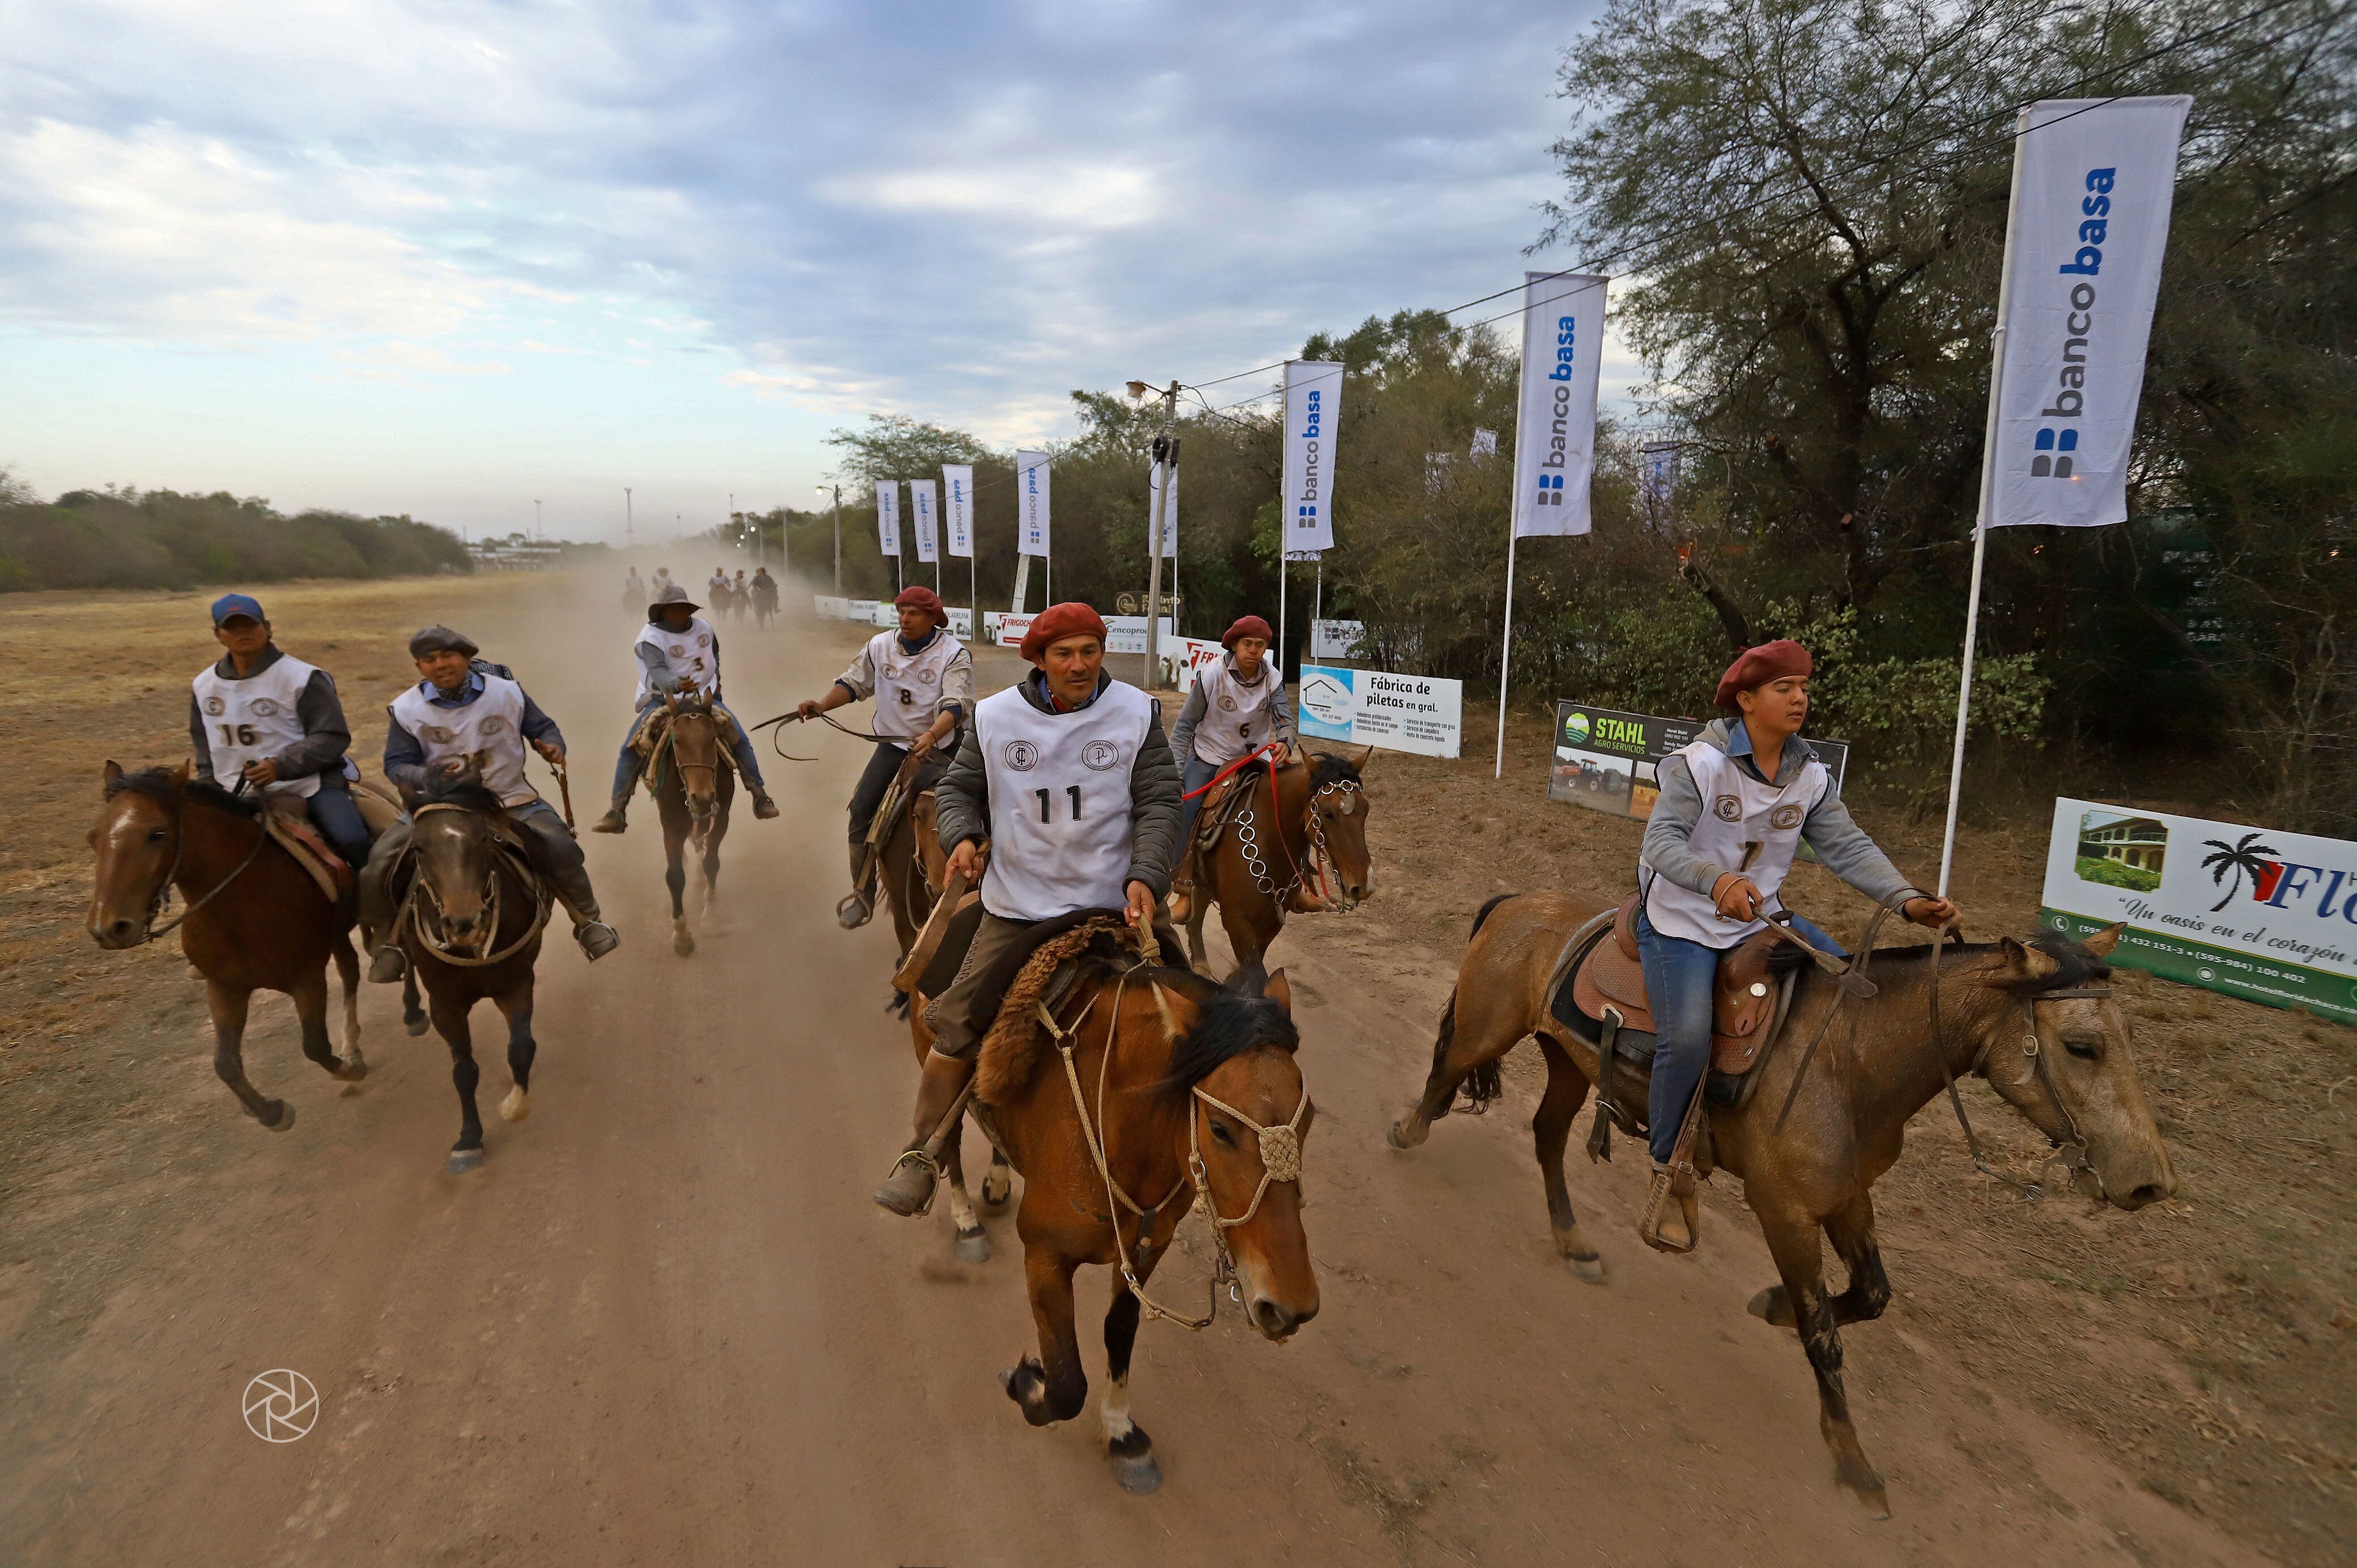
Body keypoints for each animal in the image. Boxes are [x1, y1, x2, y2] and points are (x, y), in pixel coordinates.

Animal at [87, 759, 367, 1117]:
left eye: (158, 834)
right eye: (93, 838)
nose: (107, 928)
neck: (240, 909)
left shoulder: (307, 979)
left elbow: (315, 1046)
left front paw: (350, 1070)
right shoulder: (224, 987)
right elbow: (225, 1065)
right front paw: (270, 1112)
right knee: (349, 969)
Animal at [391, 778, 551, 1169]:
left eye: (482, 839)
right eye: (418, 848)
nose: (464, 922)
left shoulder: (516, 984)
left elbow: (522, 1046)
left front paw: (515, 1105)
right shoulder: (445, 1004)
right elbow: (464, 1071)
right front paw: (468, 1140)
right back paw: (411, 1010)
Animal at [947, 919, 1320, 1490]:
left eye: (1310, 1118)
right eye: (1219, 1129)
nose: (1291, 1308)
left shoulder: (1146, 1250)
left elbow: (1118, 1333)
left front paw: (1121, 1429)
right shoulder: (1045, 1254)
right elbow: (1066, 1382)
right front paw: (1026, 1383)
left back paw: (996, 1178)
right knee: (943, 1141)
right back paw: (963, 1218)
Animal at [1376, 891, 2168, 1518]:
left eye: (2130, 1038)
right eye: (2080, 1045)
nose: (2149, 1182)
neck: (1847, 1061)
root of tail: (1517, 901)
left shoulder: (1846, 1195)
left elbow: (1870, 1294)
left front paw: (1771, 1305)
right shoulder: (1784, 1209)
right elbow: (1824, 1333)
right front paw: (1851, 1458)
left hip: (1568, 1060)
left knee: (1544, 1136)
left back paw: (1572, 1241)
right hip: (1487, 1028)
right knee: (1444, 1077)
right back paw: (1407, 1130)